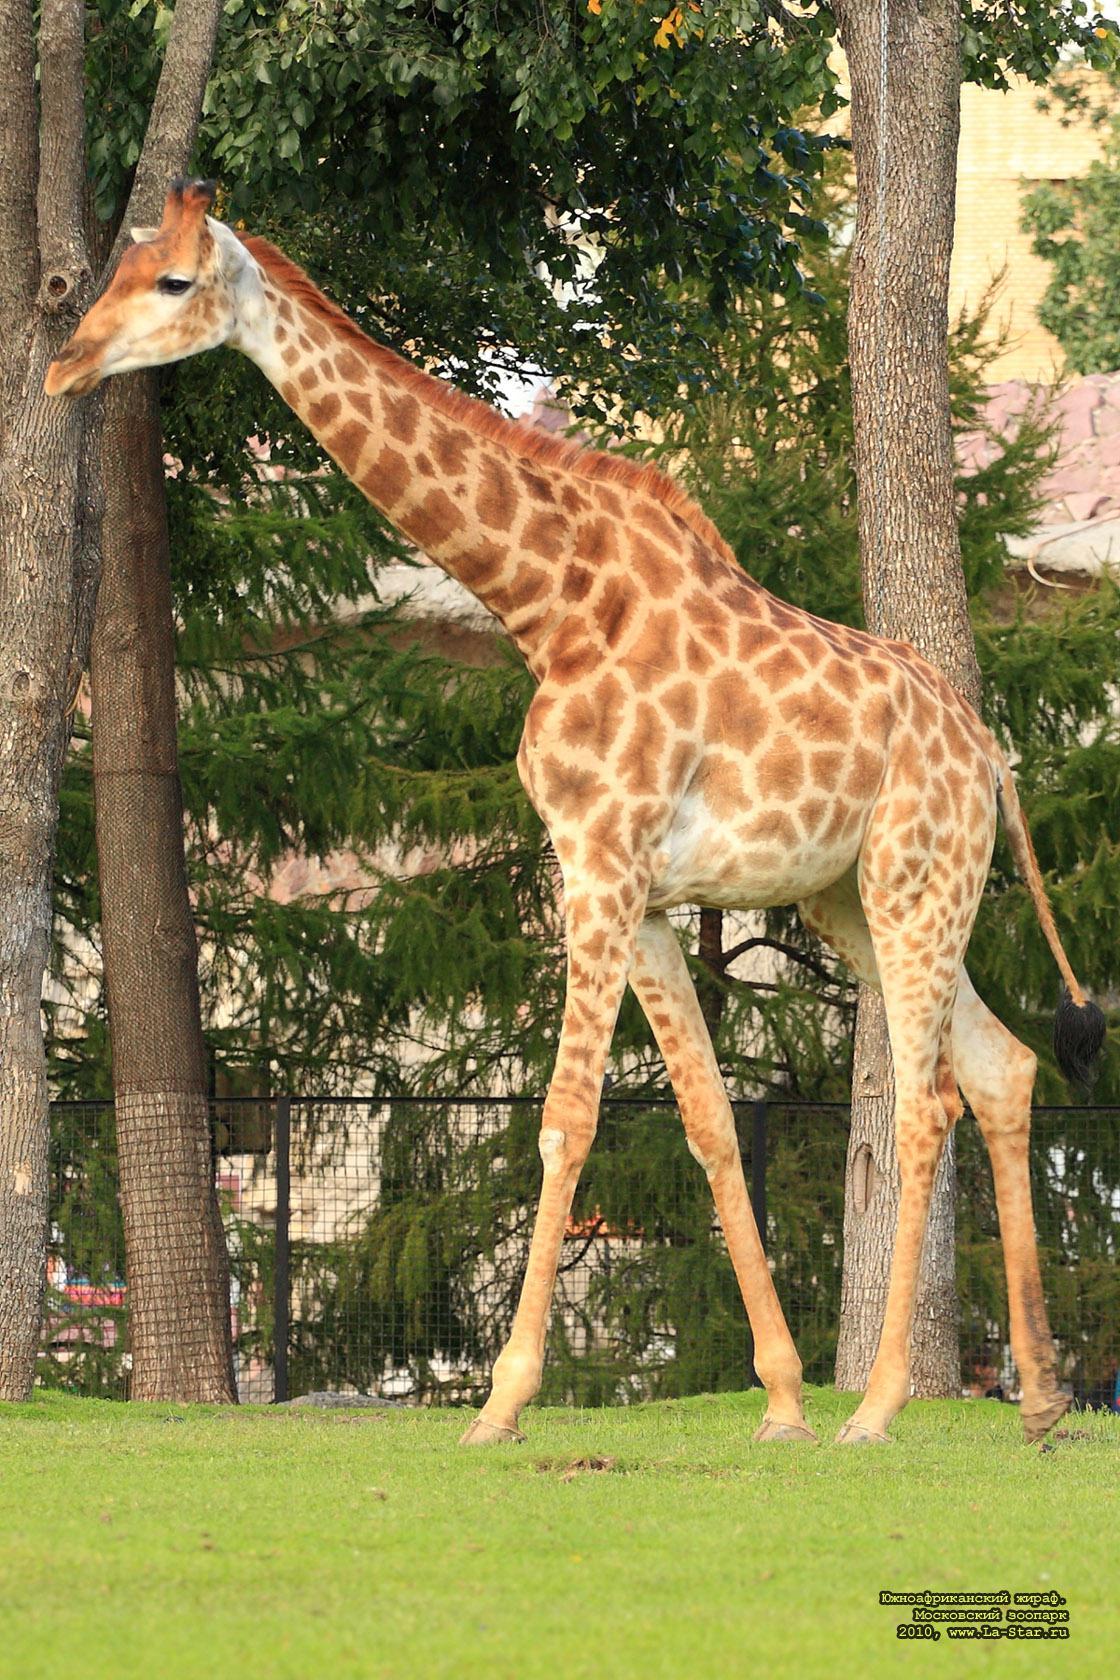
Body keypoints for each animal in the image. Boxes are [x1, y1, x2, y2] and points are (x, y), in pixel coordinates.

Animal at [47, 179, 1105, 1447]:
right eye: (109, 270)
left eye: (170, 281)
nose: (63, 363)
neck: (546, 604)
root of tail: (990, 756)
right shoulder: (633, 890)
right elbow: (706, 1124)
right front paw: (780, 1400)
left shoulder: (599, 863)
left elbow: (565, 1118)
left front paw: (502, 1404)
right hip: (853, 896)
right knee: (1000, 1068)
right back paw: (1038, 1397)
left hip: (914, 879)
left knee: (923, 1102)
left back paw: (885, 1403)